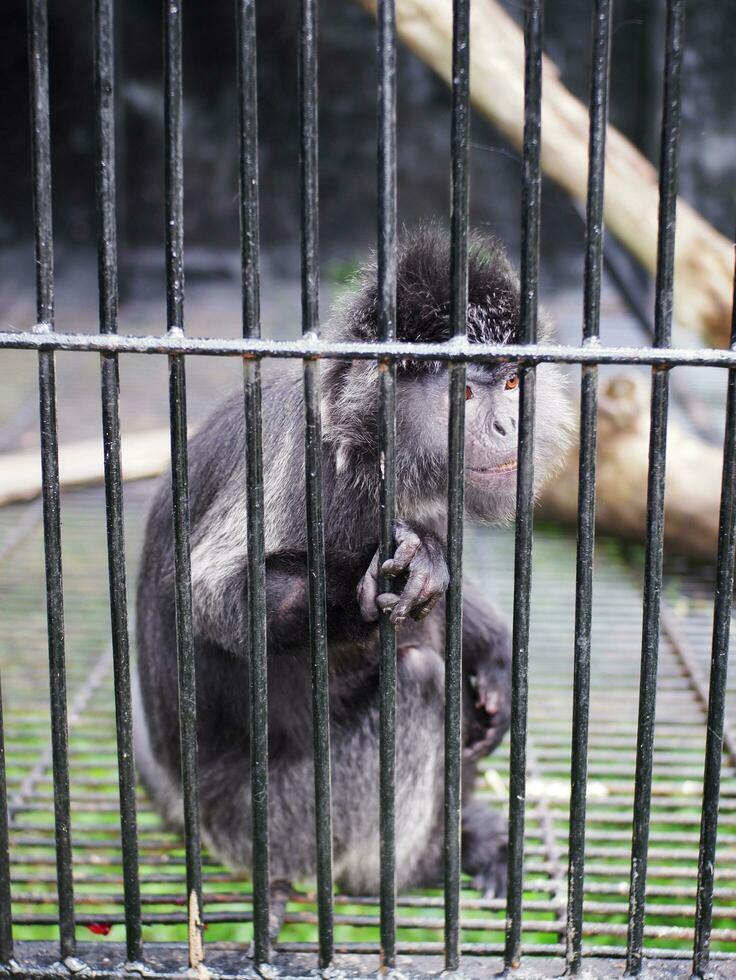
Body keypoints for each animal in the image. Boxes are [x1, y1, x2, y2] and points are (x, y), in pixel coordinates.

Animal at [134, 222, 568, 912]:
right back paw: (421, 865)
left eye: (509, 386)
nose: (506, 425)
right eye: (465, 393)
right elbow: (215, 602)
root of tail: (191, 807)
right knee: (419, 676)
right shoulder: (308, 466)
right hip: (285, 824)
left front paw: (495, 652)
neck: (369, 448)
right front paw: (400, 575)